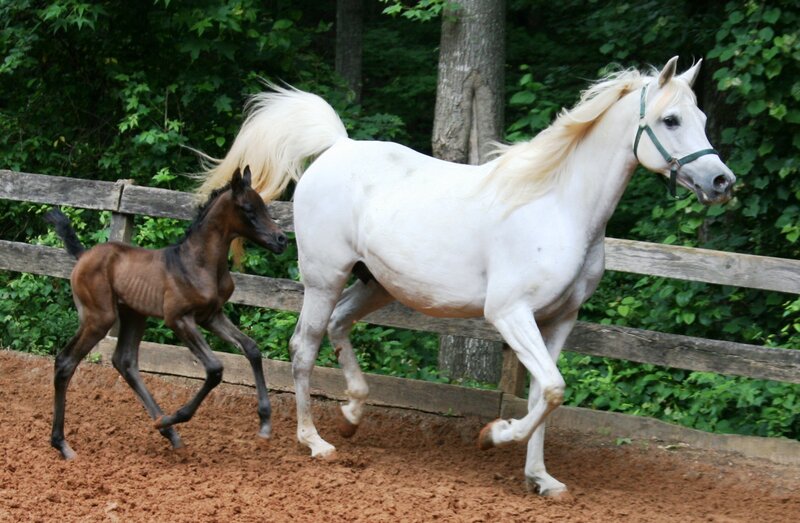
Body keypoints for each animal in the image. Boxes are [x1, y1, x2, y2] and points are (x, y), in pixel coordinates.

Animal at [46, 167, 287, 460]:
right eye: (248, 208)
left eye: (264, 206)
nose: (282, 240)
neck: (198, 263)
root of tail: (82, 257)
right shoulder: (179, 319)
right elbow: (215, 369)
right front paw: (177, 416)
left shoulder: (211, 316)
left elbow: (252, 348)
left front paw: (265, 424)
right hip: (99, 318)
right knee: (65, 362)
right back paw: (63, 445)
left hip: (134, 315)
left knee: (125, 361)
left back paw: (167, 431)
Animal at [199, 57, 735, 497]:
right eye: (670, 119)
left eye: (703, 120)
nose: (722, 182)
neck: (558, 207)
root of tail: (338, 146)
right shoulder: (510, 314)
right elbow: (553, 389)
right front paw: (493, 436)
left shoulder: (559, 320)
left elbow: (545, 392)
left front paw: (541, 479)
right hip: (323, 279)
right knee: (303, 346)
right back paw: (315, 441)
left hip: (376, 285)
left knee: (338, 326)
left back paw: (352, 415)